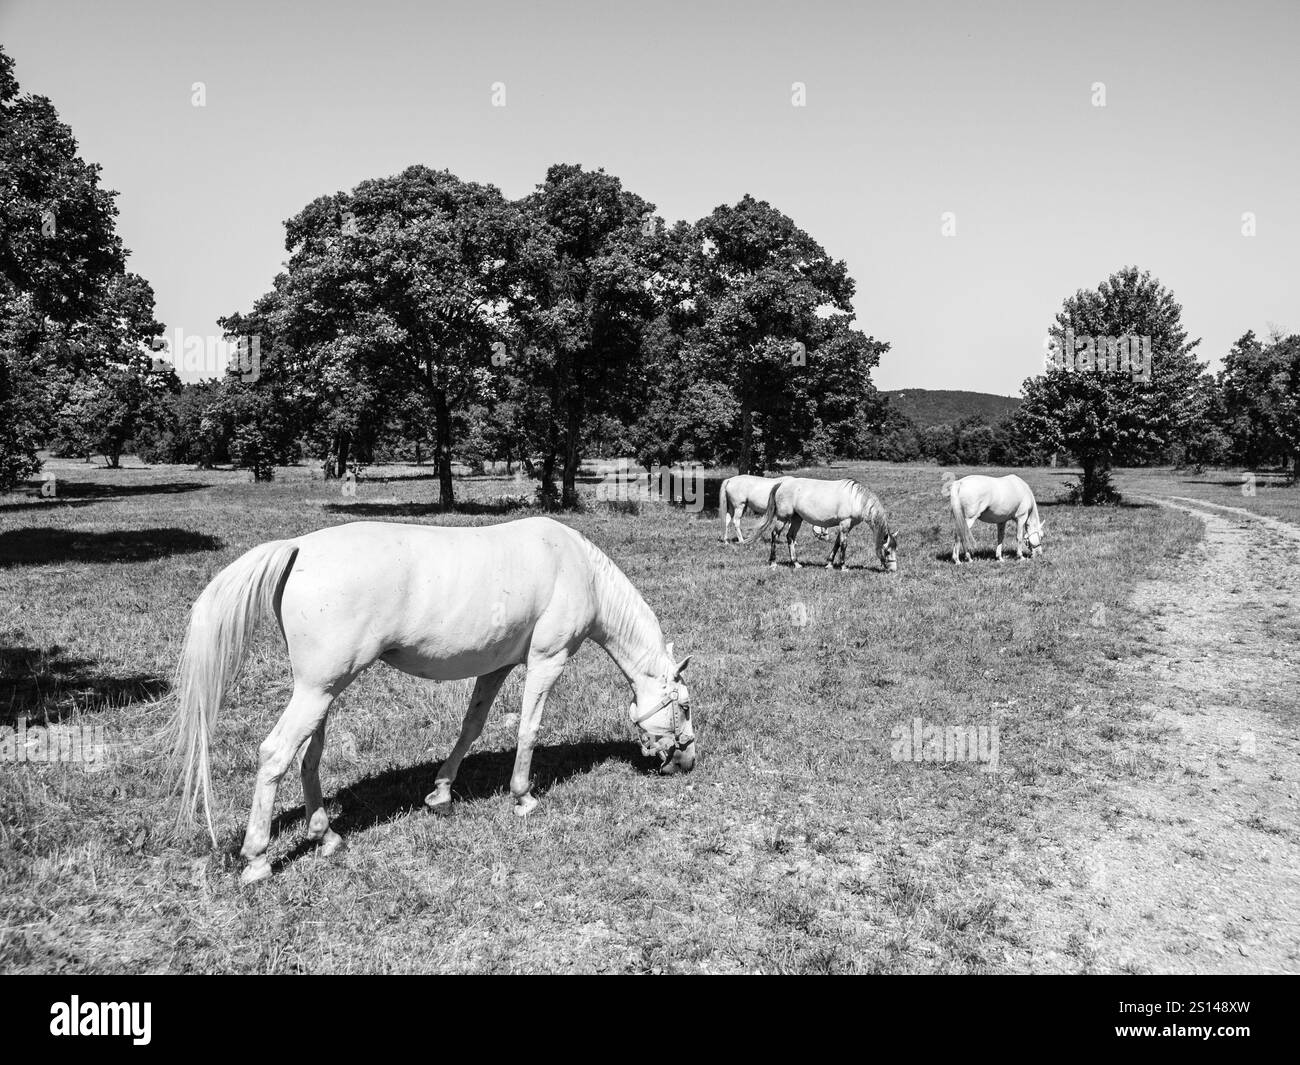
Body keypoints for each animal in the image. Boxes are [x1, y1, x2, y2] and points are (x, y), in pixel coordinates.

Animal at [167, 517, 696, 886]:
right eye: (685, 706)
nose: (687, 760)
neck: (578, 567)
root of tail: (299, 548)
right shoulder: (548, 660)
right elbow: (529, 728)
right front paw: (523, 797)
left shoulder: (496, 667)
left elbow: (472, 726)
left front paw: (441, 793)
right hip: (317, 691)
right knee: (275, 755)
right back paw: (257, 861)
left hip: (322, 691)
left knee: (308, 758)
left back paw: (327, 837)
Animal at [754, 476, 898, 571]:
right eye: (887, 551)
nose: (893, 569)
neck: (856, 499)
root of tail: (782, 484)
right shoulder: (845, 523)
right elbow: (844, 544)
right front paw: (843, 566)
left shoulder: (847, 525)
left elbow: (837, 543)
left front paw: (829, 564)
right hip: (783, 518)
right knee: (774, 535)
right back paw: (773, 562)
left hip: (796, 519)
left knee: (790, 537)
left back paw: (796, 563)